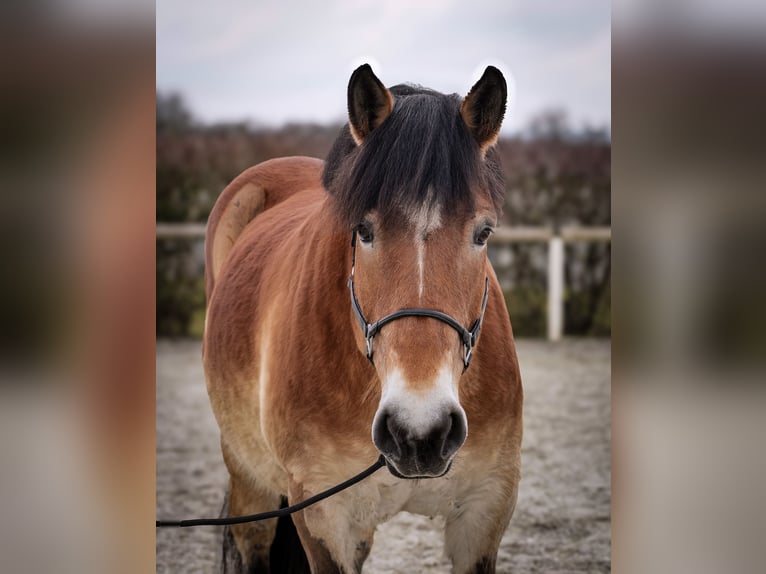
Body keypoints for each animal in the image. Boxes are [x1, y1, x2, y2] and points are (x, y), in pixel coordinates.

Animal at [204, 65, 524, 572]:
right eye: (363, 230)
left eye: (484, 232)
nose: (419, 431)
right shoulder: (321, 513)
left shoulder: (485, 511)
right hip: (247, 474)